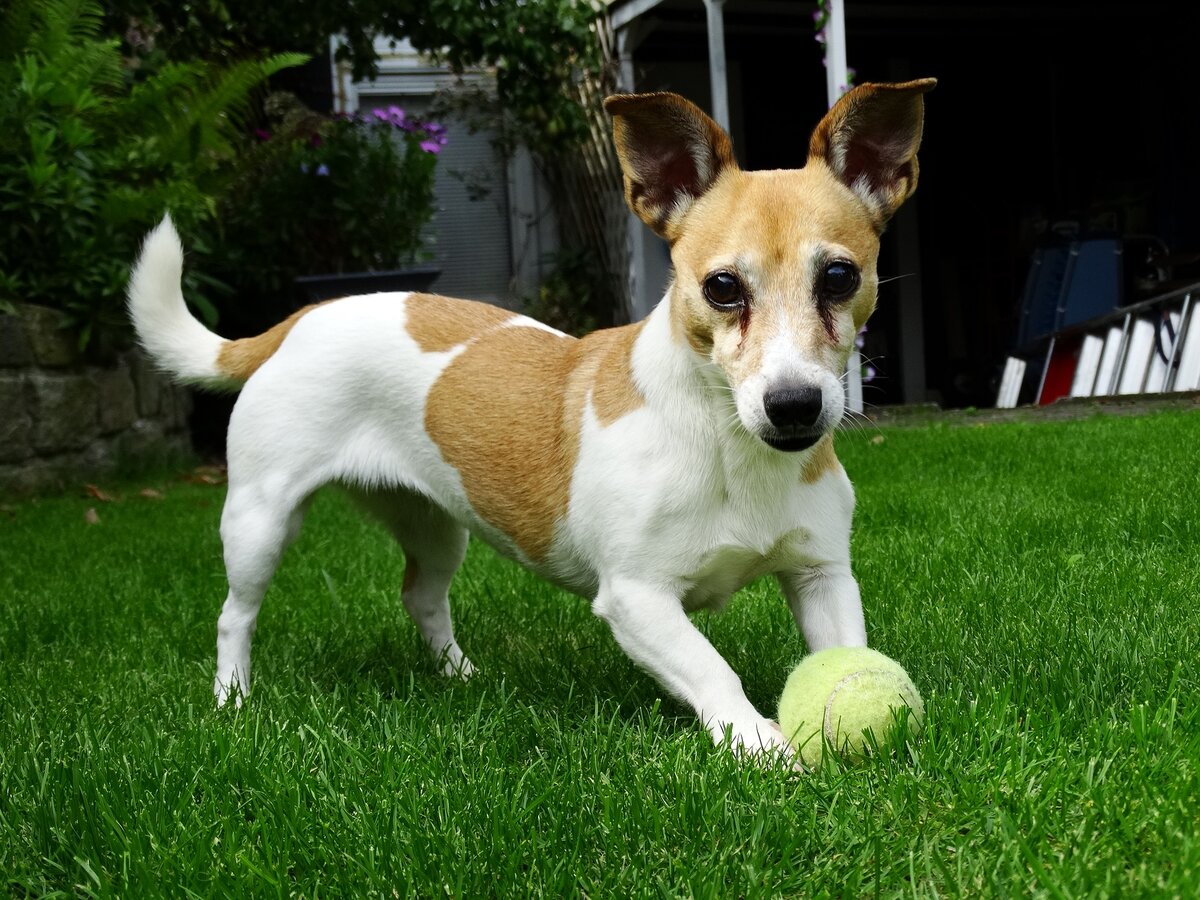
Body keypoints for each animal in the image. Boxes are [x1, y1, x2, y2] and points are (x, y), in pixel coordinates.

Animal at [129, 79, 936, 763]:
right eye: (722, 288)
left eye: (840, 276)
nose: (794, 404)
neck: (731, 448)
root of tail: (303, 317)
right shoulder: (637, 600)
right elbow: (714, 670)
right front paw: (762, 745)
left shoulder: (822, 576)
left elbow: (847, 650)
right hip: (260, 521)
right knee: (235, 616)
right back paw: (233, 699)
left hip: (434, 524)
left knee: (421, 597)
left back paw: (460, 675)